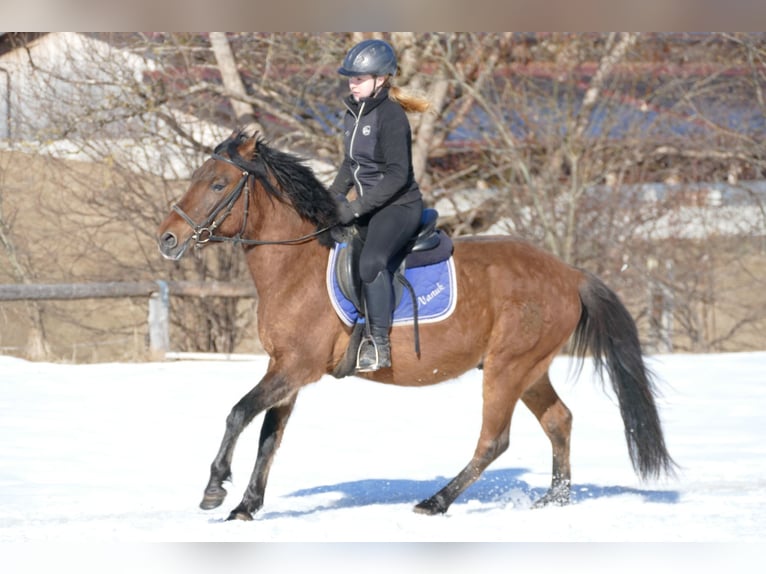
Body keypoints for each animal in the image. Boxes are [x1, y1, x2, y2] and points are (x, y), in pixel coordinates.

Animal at [158, 129, 680, 520]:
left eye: (218, 185)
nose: (168, 238)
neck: (296, 263)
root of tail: (569, 273)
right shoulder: (285, 369)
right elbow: (269, 435)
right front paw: (246, 507)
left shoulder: (296, 368)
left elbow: (238, 413)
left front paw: (214, 489)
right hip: (528, 369)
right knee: (559, 421)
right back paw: (553, 500)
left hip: (507, 368)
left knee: (495, 440)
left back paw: (436, 502)